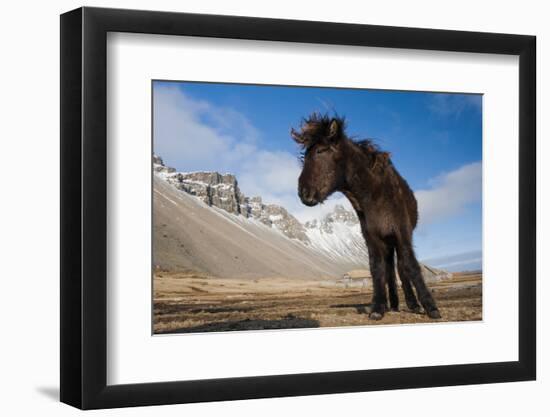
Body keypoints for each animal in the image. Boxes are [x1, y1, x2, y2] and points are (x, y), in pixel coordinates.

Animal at [292, 114, 442, 318]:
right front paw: (378, 307)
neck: (375, 195)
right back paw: (393, 304)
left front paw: (430, 306)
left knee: (401, 267)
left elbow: (410, 265)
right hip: (387, 242)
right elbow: (376, 268)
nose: (303, 193)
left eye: (321, 151)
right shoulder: (372, 237)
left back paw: (412, 304)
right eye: (305, 156)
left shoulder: (402, 233)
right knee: (390, 270)